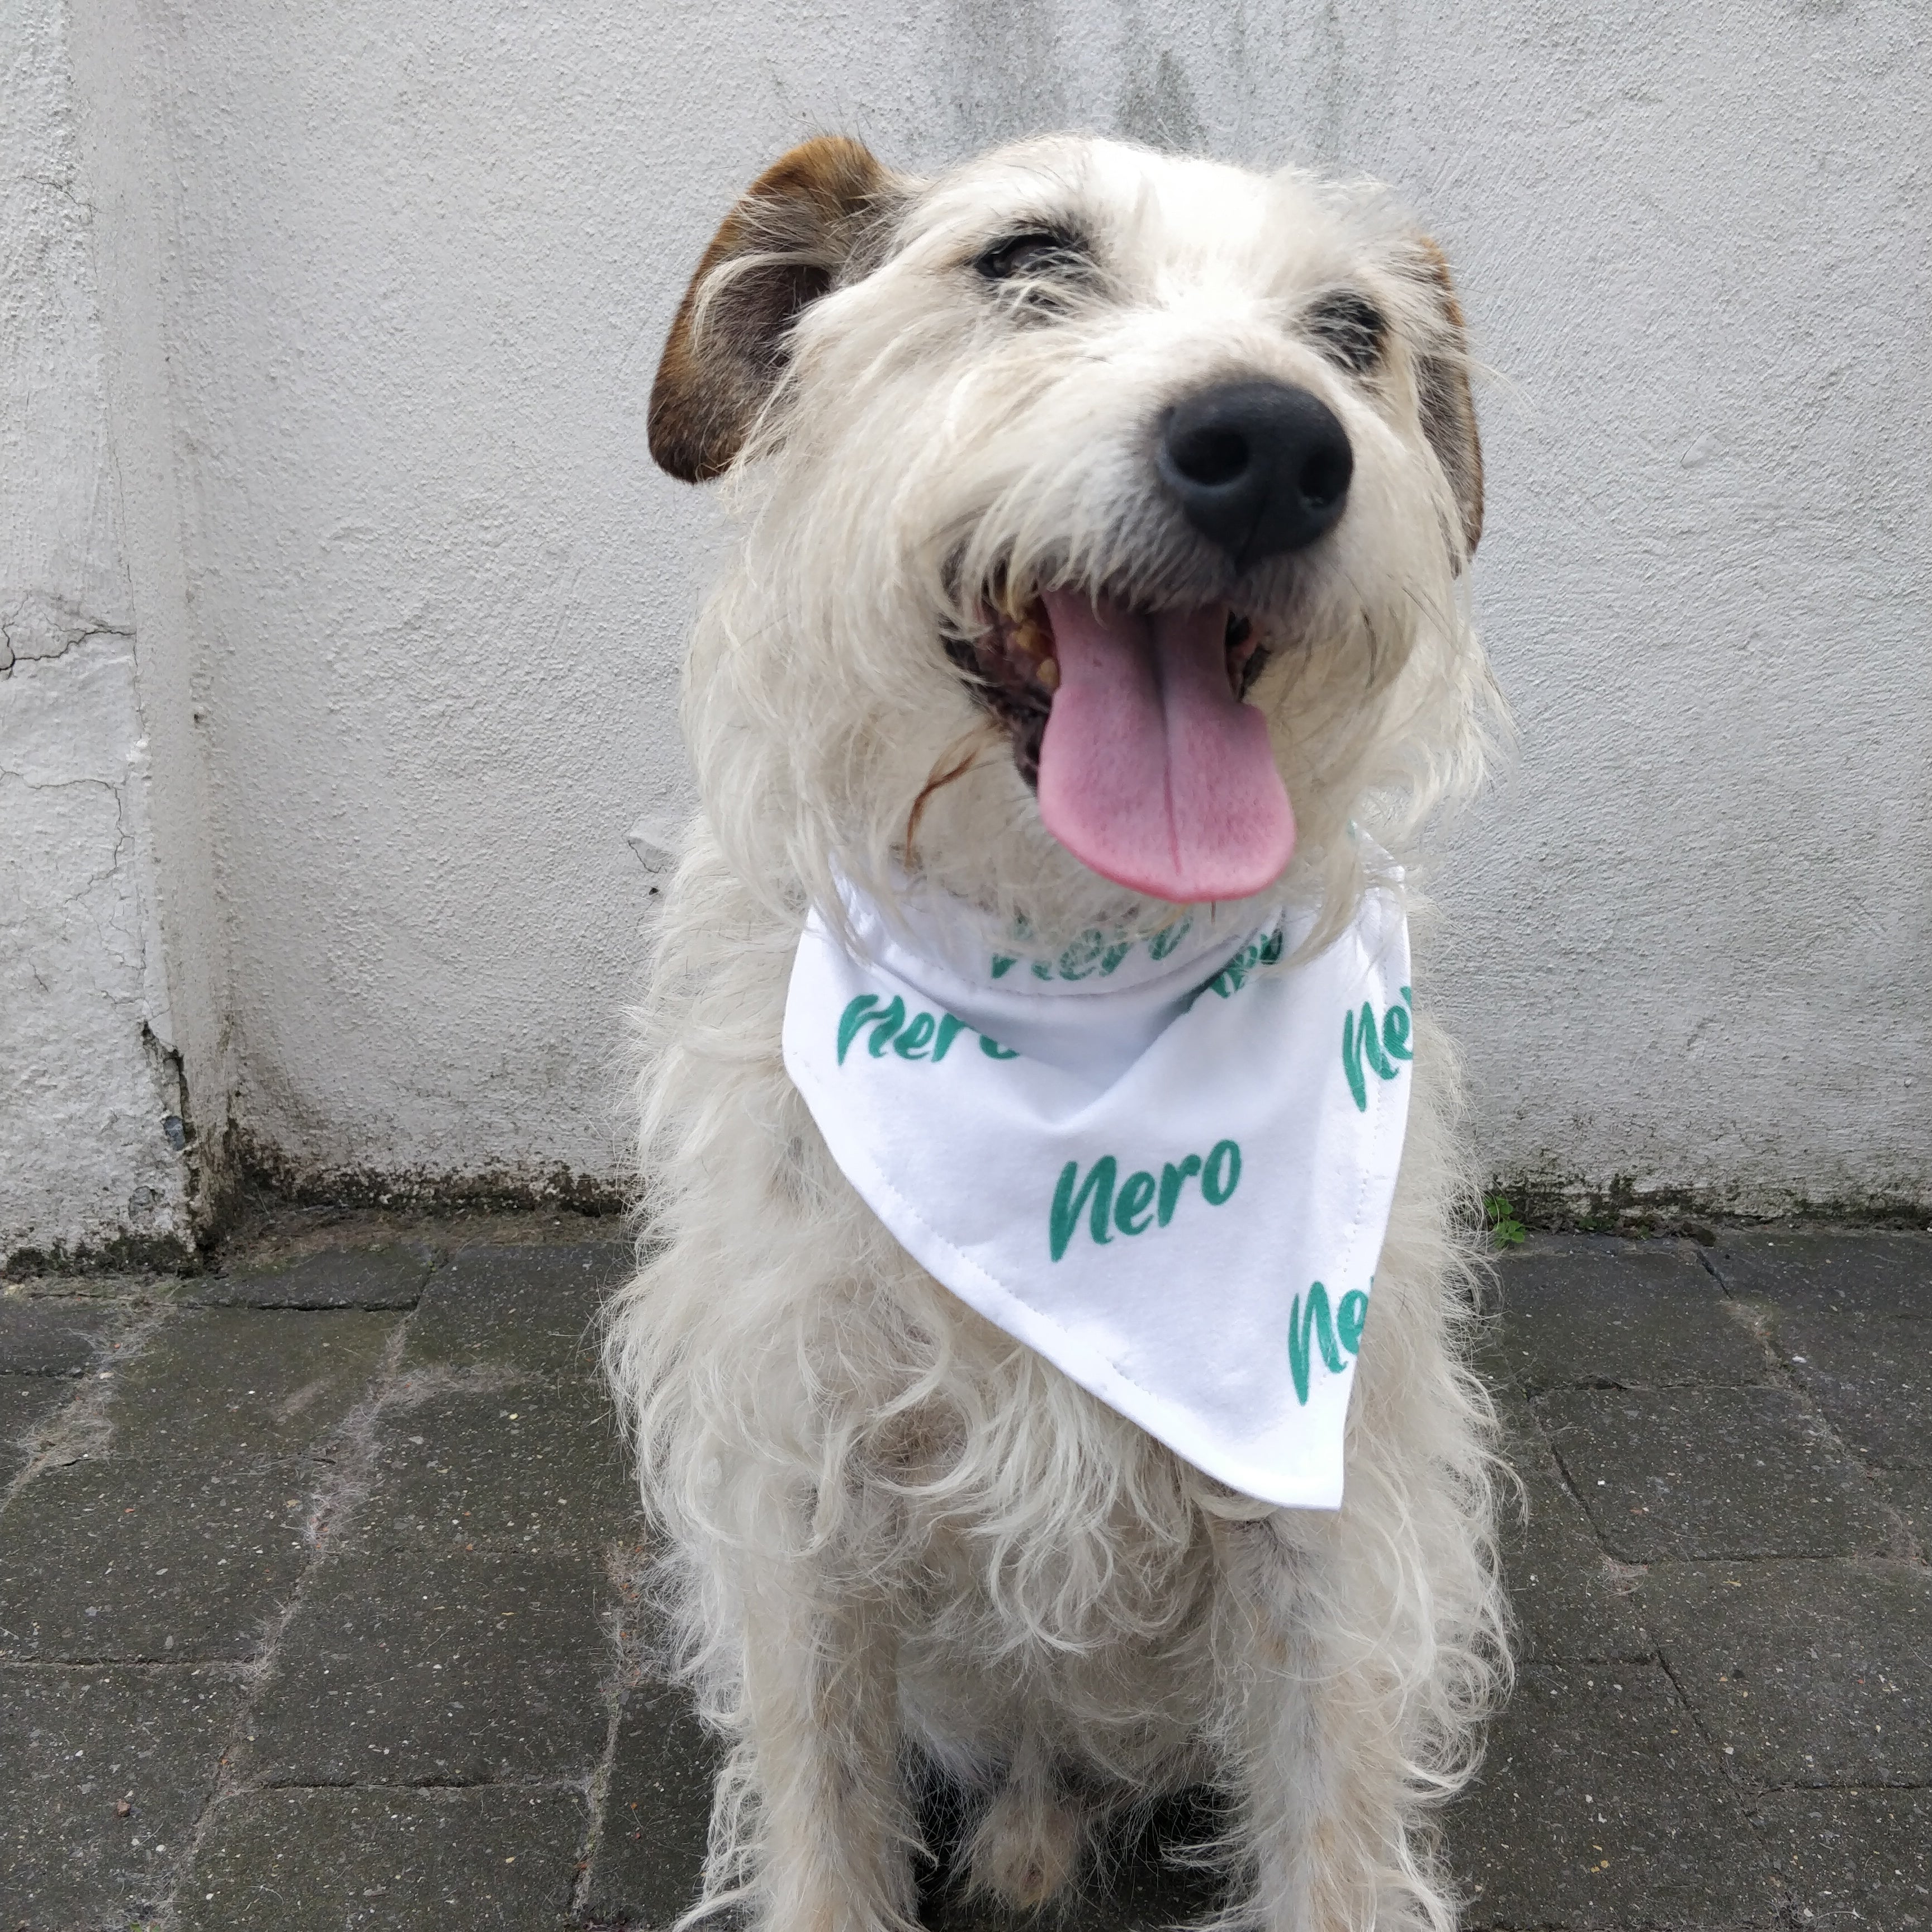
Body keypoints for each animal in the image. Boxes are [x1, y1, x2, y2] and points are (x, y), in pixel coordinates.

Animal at [610, 136, 1514, 1932]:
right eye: (1028, 257)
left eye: (1351, 330)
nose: (1277, 446)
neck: (1068, 977)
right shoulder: (800, 1489)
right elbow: (824, 1812)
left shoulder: (1329, 1524)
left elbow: (1328, 1826)